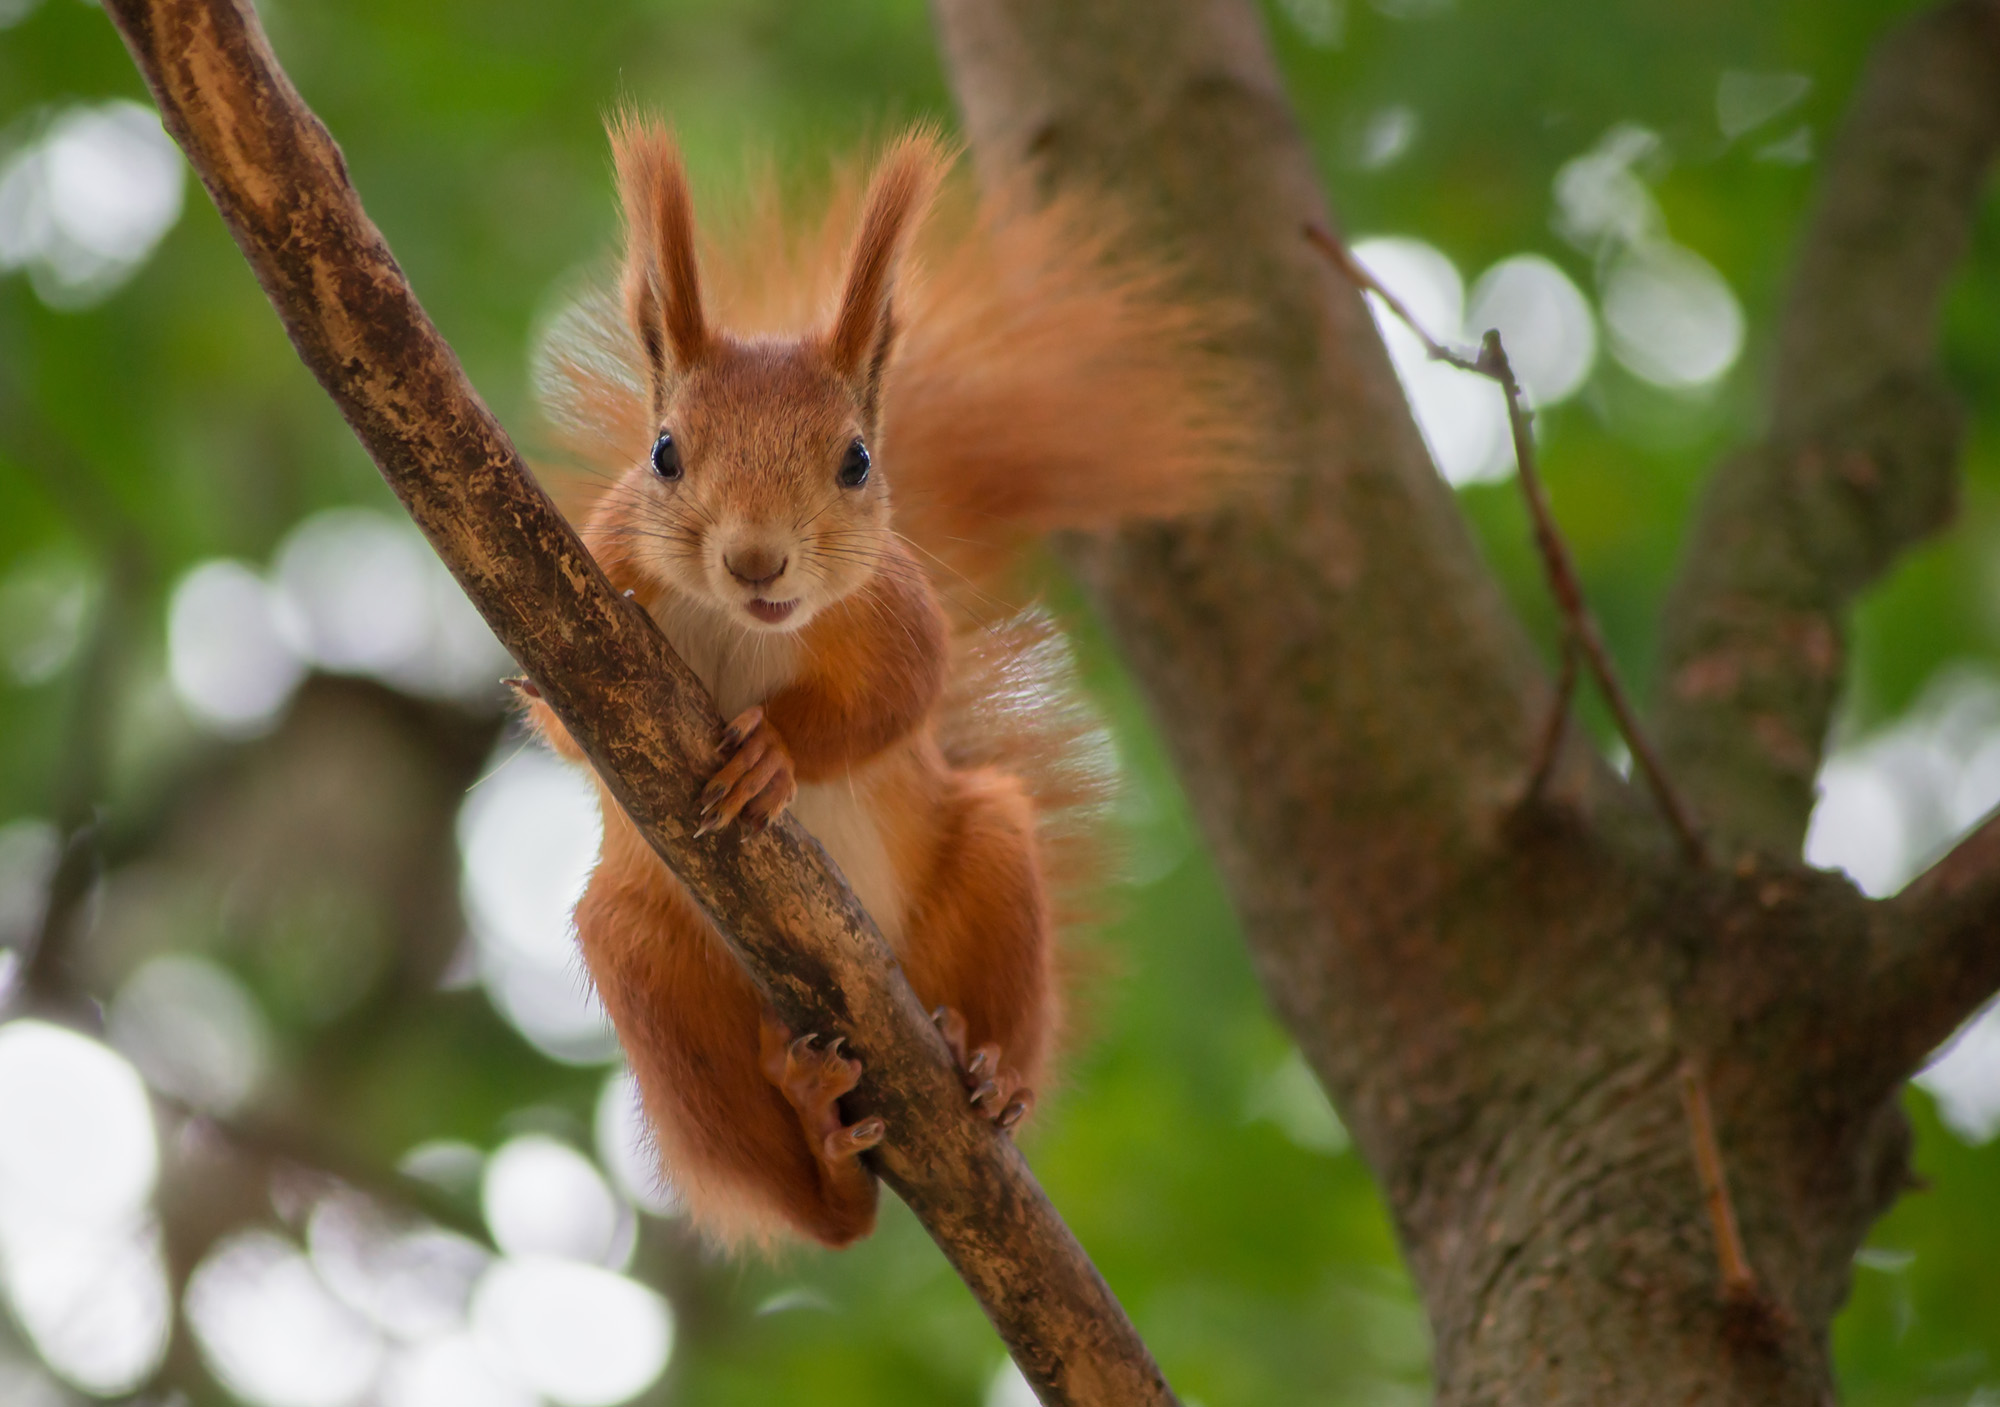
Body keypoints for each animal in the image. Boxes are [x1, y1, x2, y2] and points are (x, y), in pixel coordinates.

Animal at [524, 115, 1256, 1247]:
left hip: (987, 856)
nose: (756, 561)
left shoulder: (897, 615)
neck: (744, 628)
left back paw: (991, 1073)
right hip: (647, 961)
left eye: (857, 461)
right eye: (664, 454)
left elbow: (899, 698)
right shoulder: (588, 568)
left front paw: (775, 753)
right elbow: (558, 711)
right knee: (835, 1220)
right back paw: (821, 1138)